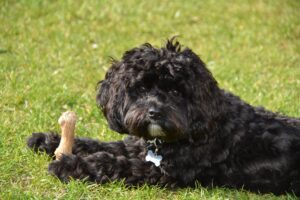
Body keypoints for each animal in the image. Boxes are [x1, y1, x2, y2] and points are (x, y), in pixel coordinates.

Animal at [27, 38, 298, 195]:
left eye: (177, 91)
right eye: (142, 88)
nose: (154, 112)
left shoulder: (162, 172)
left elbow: (111, 163)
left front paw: (69, 165)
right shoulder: (135, 145)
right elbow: (101, 145)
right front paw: (48, 141)